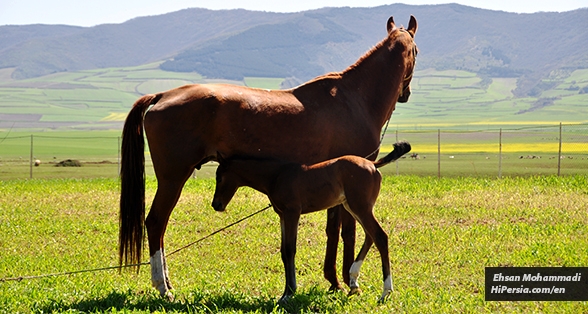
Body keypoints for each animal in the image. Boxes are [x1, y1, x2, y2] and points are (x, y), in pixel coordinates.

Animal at [214, 142, 412, 302]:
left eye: (219, 177)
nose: (216, 204)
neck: (277, 175)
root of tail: (372, 164)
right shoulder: (282, 216)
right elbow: (284, 252)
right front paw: (286, 292)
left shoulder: (292, 213)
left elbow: (290, 250)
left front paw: (289, 294)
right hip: (352, 206)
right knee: (370, 236)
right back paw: (354, 281)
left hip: (360, 207)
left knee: (380, 236)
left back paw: (385, 292)